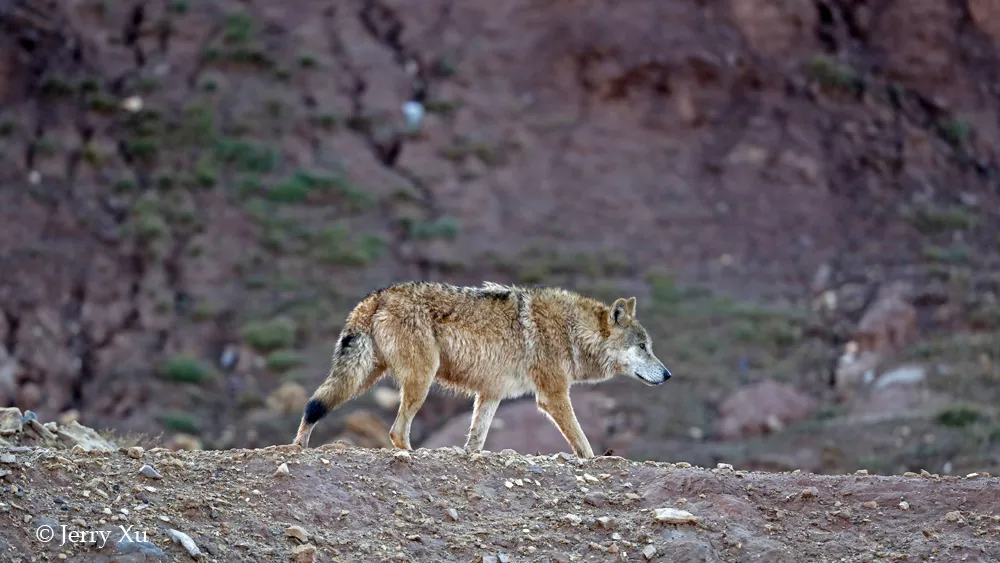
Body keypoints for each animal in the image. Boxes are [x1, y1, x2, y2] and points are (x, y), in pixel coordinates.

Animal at [294, 282, 672, 458]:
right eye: (643, 347)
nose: (668, 375)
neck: (572, 331)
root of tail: (377, 296)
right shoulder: (552, 395)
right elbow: (583, 443)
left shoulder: (490, 395)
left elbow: (475, 443)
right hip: (419, 380)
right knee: (396, 432)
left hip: (363, 377)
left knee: (314, 405)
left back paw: (298, 445)